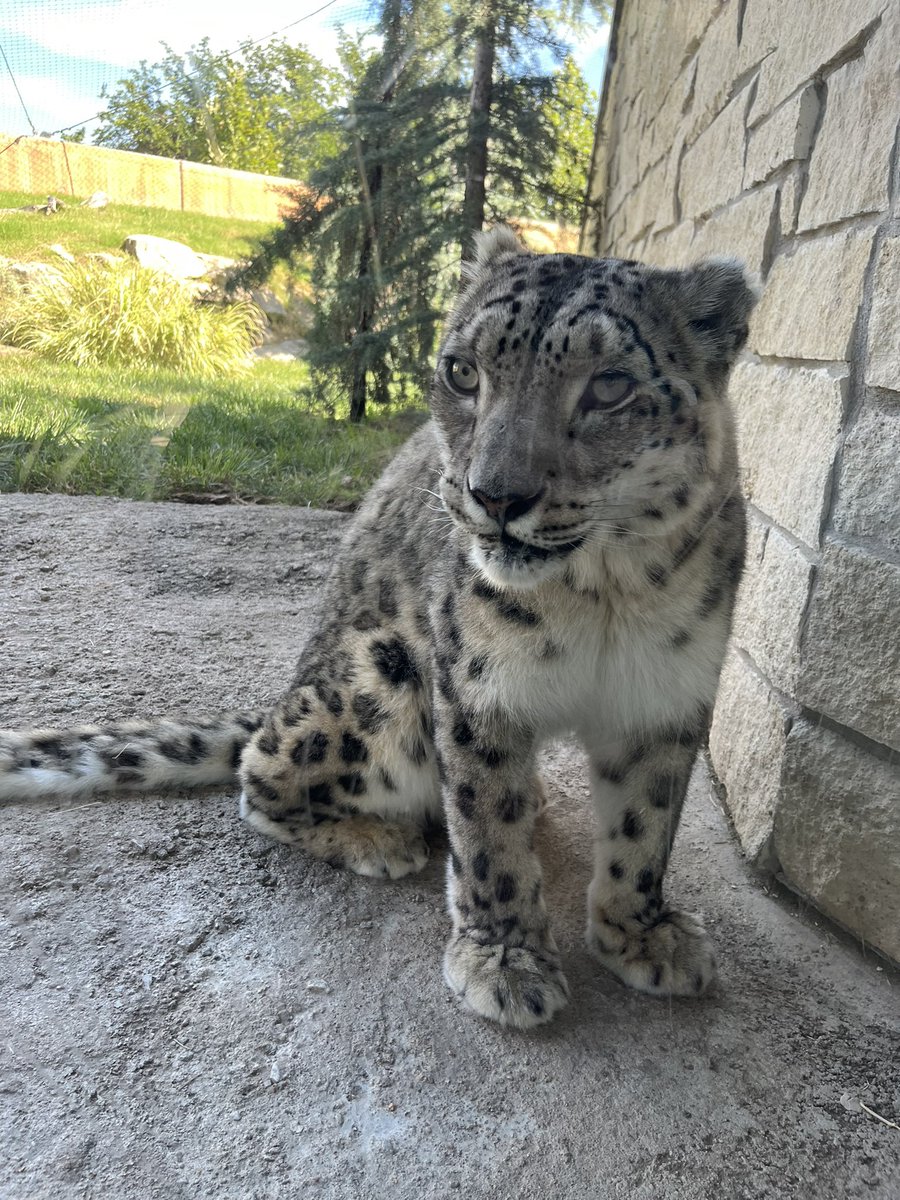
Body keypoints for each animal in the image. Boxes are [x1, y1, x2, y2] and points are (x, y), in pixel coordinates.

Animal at [0, 227, 757, 1029]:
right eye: (462, 371)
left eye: (611, 385)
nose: (497, 495)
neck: (605, 597)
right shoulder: (477, 689)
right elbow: (489, 833)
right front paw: (505, 960)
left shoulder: (667, 696)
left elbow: (646, 826)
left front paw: (641, 935)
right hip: (376, 680)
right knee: (260, 776)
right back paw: (377, 837)